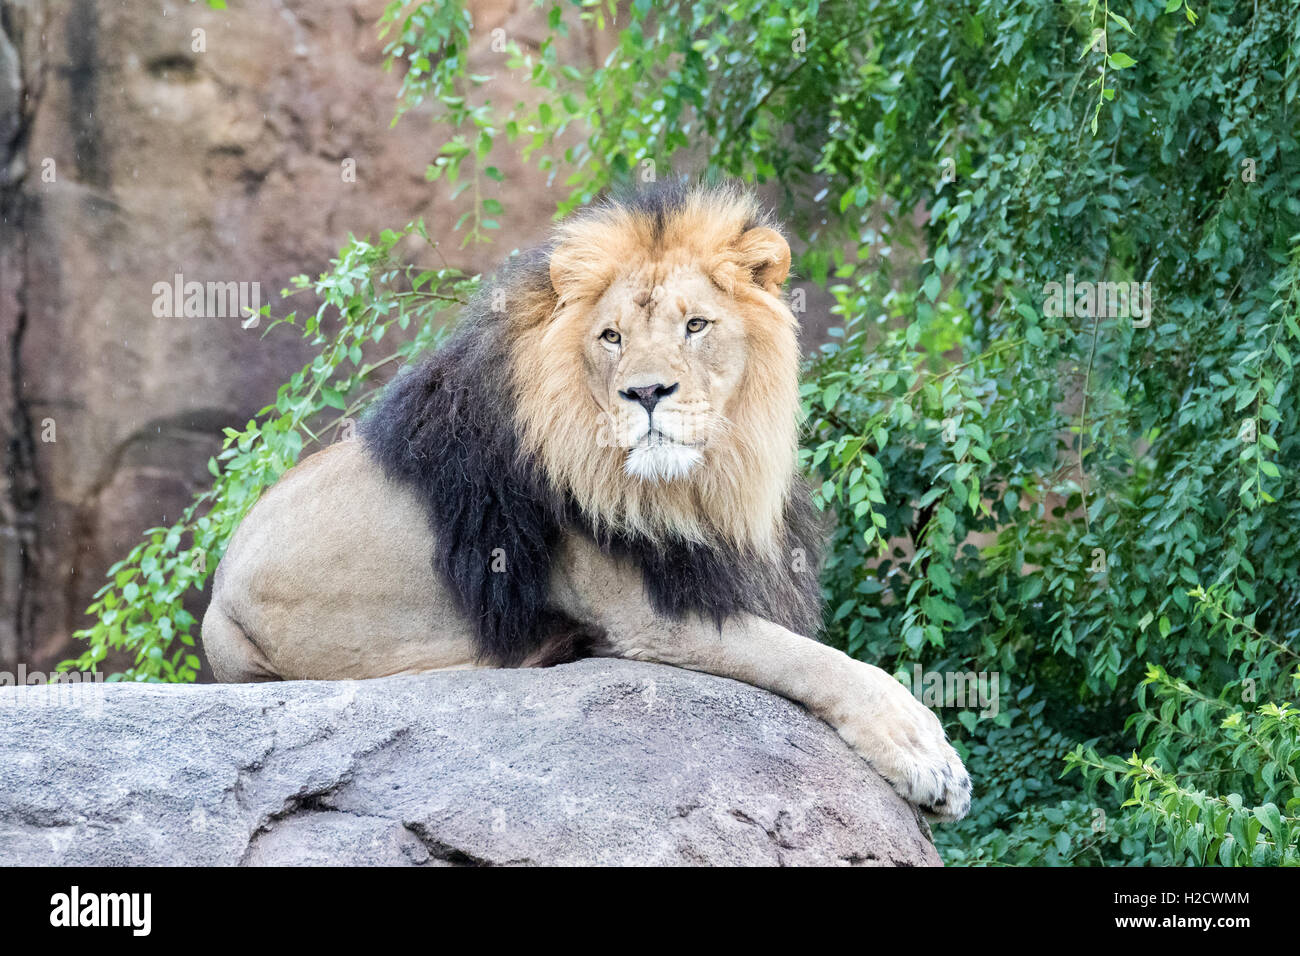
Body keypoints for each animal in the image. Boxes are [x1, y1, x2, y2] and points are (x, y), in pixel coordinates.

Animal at [202, 180, 972, 822]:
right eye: (612, 337)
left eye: (696, 325)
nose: (646, 392)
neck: (702, 482)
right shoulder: (650, 616)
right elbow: (821, 663)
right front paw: (930, 760)